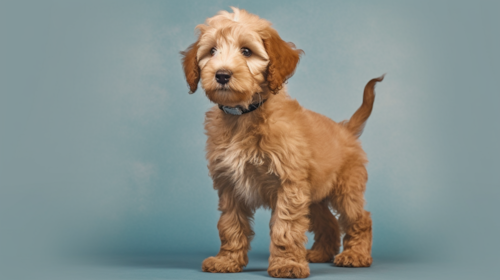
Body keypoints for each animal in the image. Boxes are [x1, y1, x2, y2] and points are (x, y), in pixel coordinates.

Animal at [182, 6, 384, 278]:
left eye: (247, 51)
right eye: (212, 51)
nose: (222, 75)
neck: (243, 116)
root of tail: (345, 129)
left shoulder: (289, 185)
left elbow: (285, 228)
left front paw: (287, 263)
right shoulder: (230, 184)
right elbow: (230, 225)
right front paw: (227, 260)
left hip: (346, 189)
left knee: (360, 219)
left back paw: (355, 255)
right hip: (314, 195)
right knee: (328, 221)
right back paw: (320, 254)